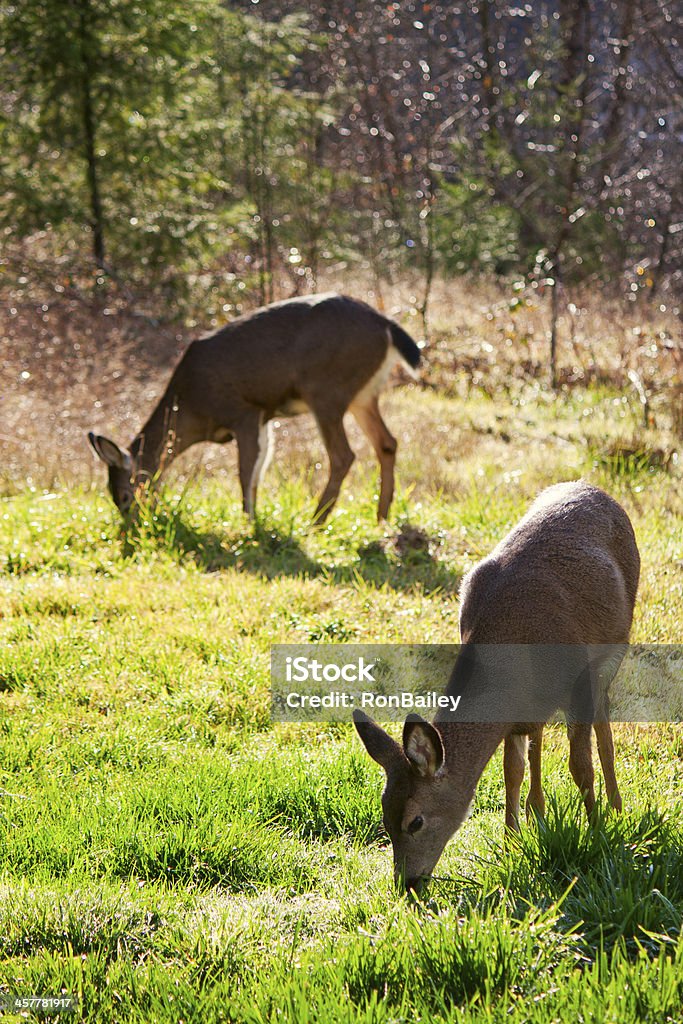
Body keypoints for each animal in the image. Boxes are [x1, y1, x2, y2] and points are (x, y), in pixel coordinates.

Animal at [87, 292, 419, 524]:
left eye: (125, 496)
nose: (134, 524)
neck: (191, 407)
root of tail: (387, 326)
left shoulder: (243, 410)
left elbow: (246, 471)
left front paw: (249, 522)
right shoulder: (263, 417)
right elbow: (260, 468)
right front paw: (255, 516)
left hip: (327, 391)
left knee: (343, 455)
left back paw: (315, 521)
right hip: (363, 395)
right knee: (387, 443)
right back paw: (381, 516)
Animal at [352, 483, 643, 892]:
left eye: (416, 821)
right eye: (384, 817)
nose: (406, 883)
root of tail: (594, 488)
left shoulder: (578, 679)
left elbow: (579, 765)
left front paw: (599, 835)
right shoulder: (517, 711)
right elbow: (512, 769)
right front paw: (512, 842)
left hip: (615, 647)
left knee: (604, 726)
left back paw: (616, 807)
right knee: (539, 738)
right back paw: (539, 813)